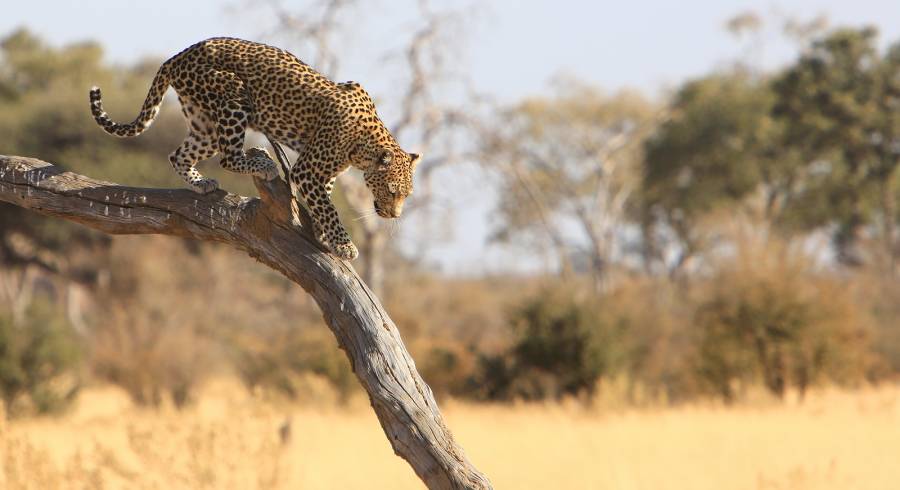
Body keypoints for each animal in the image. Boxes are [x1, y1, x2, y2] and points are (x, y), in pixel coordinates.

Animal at [87, 37, 418, 260]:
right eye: (391, 191)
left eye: (406, 195)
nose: (394, 215)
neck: (365, 147)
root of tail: (179, 54)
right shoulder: (308, 170)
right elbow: (328, 207)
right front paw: (344, 244)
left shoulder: (324, 173)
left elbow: (324, 201)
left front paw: (326, 236)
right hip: (234, 96)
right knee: (228, 157)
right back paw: (264, 166)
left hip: (205, 123)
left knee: (179, 154)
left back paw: (201, 184)